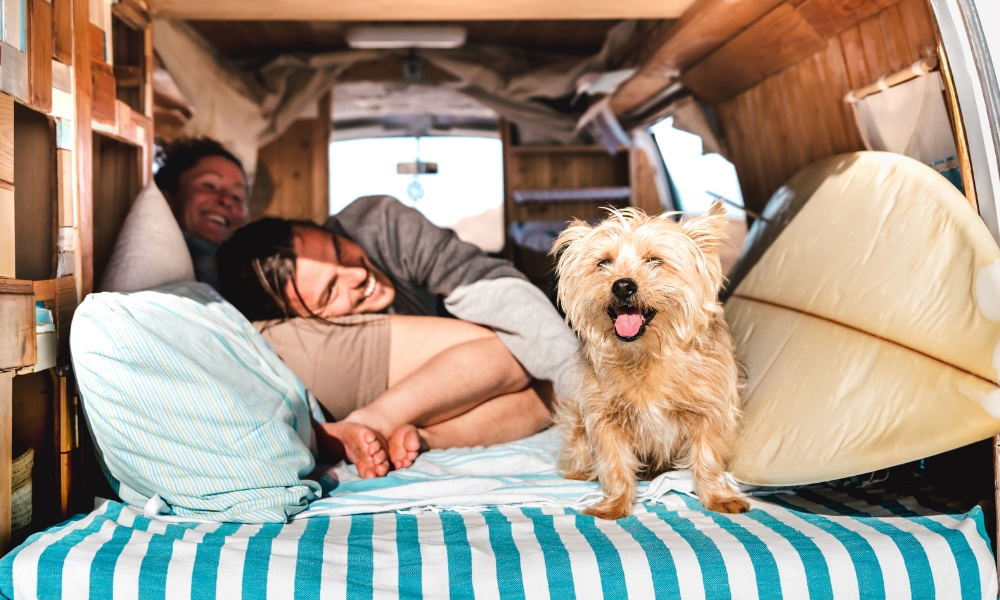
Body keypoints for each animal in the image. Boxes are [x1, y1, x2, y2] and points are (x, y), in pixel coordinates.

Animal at [552, 203, 748, 520]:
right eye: (603, 263)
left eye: (655, 260)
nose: (622, 286)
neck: (645, 354)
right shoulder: (605, 417)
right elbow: (614, 465)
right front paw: (614, 504)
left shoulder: (711, 411)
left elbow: (708, 459)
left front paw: (717, 496)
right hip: (575, 420)